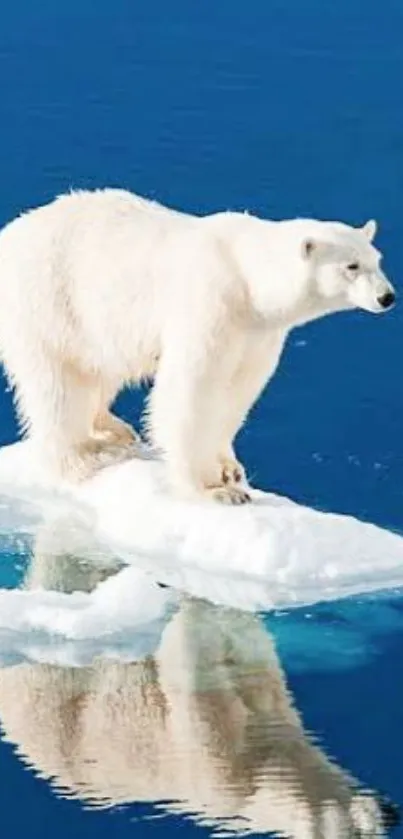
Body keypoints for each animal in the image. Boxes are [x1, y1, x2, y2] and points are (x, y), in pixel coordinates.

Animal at [0, 190, 394, 502]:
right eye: (351, 266)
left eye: (377, 260)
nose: (387, 297)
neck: (246, 278)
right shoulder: (212, 304)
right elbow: (193, 390)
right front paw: (215, 490)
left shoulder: (257, 332)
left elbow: (239, 390)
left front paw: (230, 468)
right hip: (48, 299)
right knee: (59, 384)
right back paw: (83, 457)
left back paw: (114, 429)